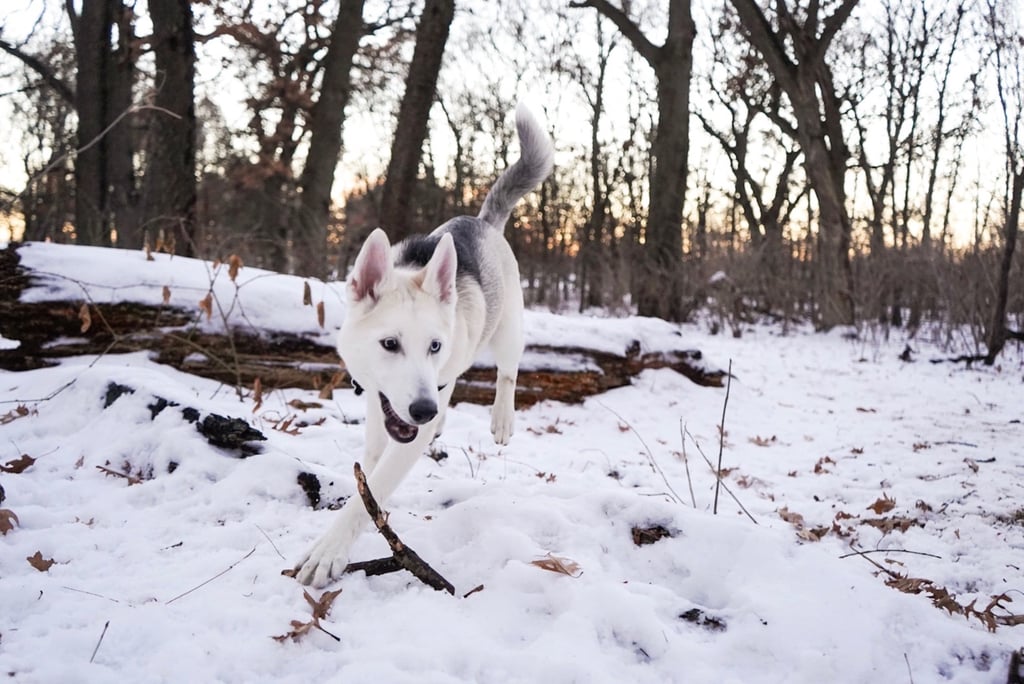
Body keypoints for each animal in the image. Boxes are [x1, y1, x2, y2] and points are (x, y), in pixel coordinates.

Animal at [292, 104, 557, 585]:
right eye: (389, 343)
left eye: (435, 345)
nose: (423, 410)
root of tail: (482, 222)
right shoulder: (381, 414)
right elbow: (368, 473)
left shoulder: (411, 430)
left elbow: (370, 493)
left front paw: (329, 549)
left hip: (508, 330)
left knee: (507, 373)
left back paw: (499, 418)